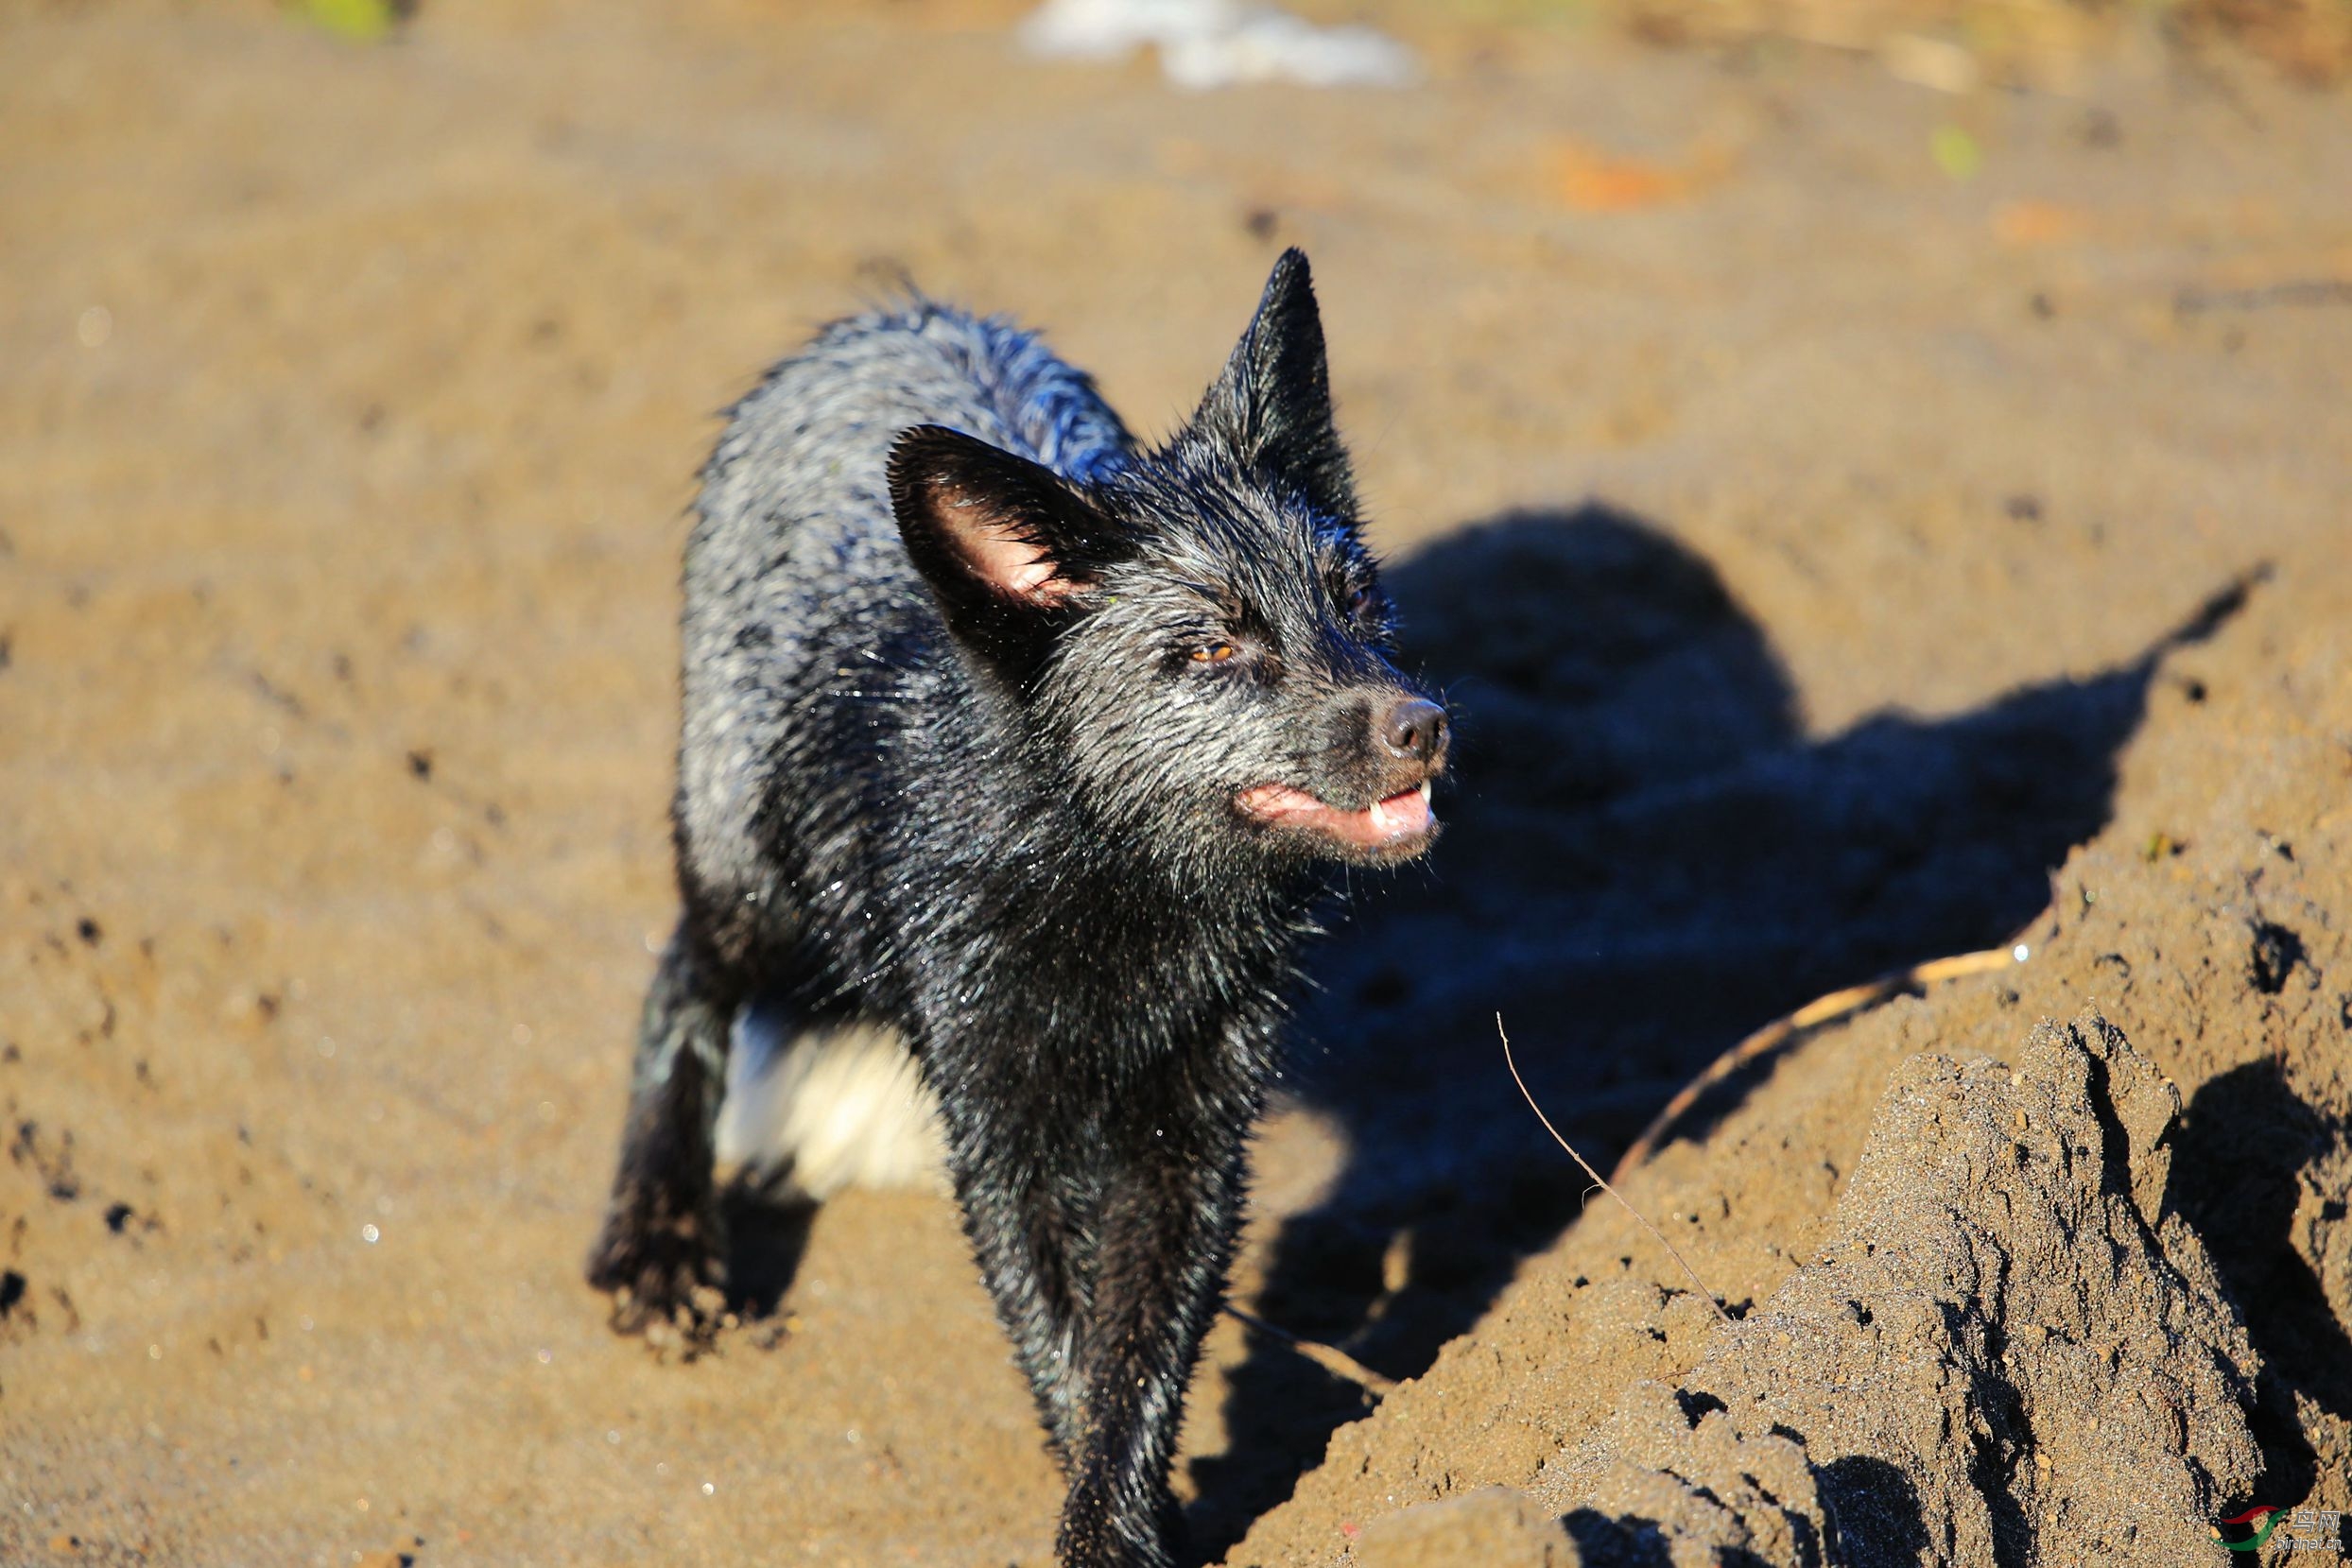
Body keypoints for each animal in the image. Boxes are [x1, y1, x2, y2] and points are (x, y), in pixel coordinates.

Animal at [588, 254, 1448, 1568]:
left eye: (1353, 598)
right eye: (1211, 648)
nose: (1425, 728)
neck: (1114, 896)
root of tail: (900, 312)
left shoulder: (1192, 1126)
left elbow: (1132, 1362)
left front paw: (1128, 1520)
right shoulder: (994, 1114)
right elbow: (1060, 1341)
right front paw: (1116, 1538)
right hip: (753, 870)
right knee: (681, 972)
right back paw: (657, 1241)